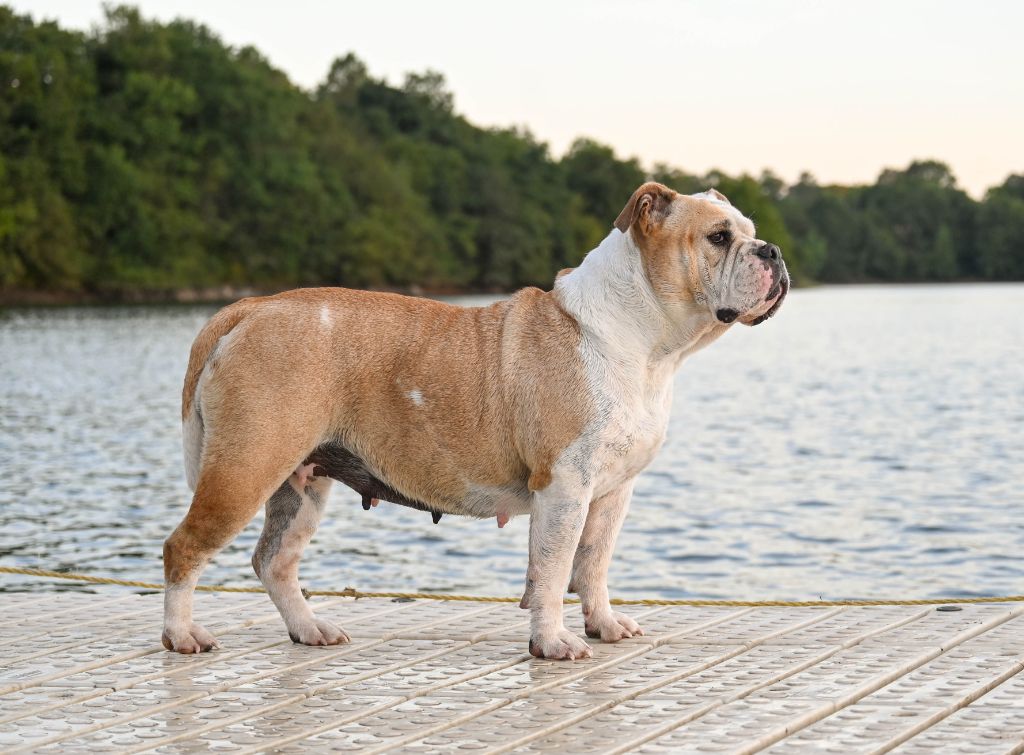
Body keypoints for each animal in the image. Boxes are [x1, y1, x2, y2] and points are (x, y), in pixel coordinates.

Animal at [159, 182, 786, 659]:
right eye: (719, 237)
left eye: (750, 230)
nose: (773, 251)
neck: (647, 343)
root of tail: (250, 308)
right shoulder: (565, 487)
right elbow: (553, 570)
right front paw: (553, 643)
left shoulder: (611, 493)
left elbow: (593, 563)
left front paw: (604, 625)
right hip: (245, 470)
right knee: (183, 549)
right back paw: (182, 636)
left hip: (302, 482)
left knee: (274, 562)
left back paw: (310, 629)